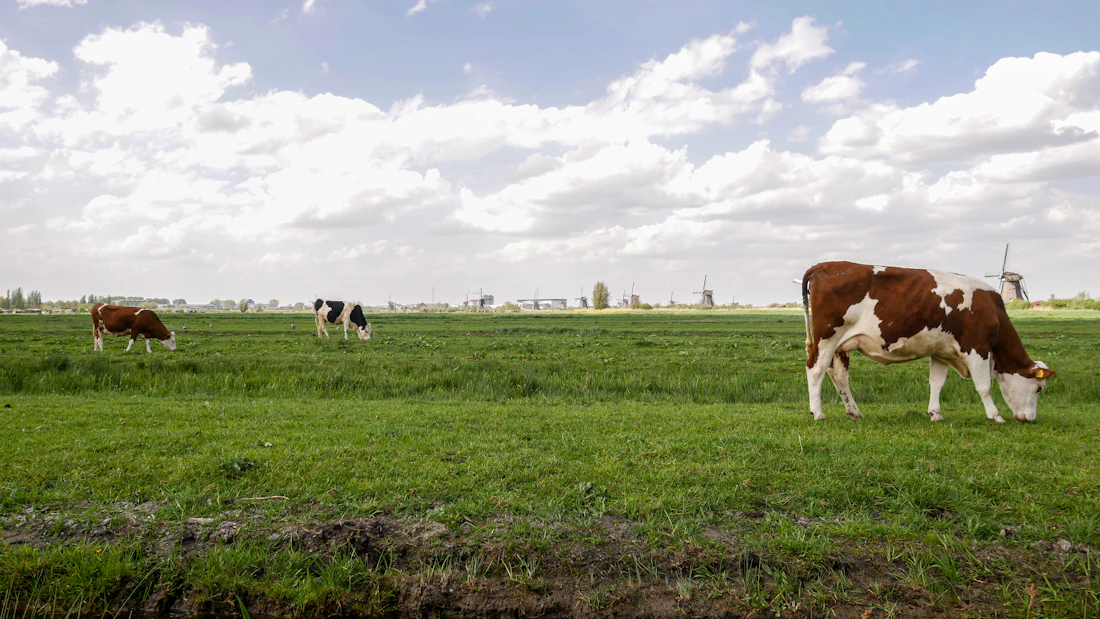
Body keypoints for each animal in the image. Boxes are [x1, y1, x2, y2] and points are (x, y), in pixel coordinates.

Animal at [802, 262, 1054, 423]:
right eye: (1039, 388)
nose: (1031, 419)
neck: (992, 309)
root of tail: (824, 265)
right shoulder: (977, 348)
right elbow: (984, 386)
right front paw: (995, 416)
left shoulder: (941, 351)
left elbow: (937, 383)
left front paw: (935, 414)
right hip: (827, 338)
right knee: (815, 370)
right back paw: (818, 413)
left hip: (840, 346)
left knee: (839, 376)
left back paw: (854, 412)